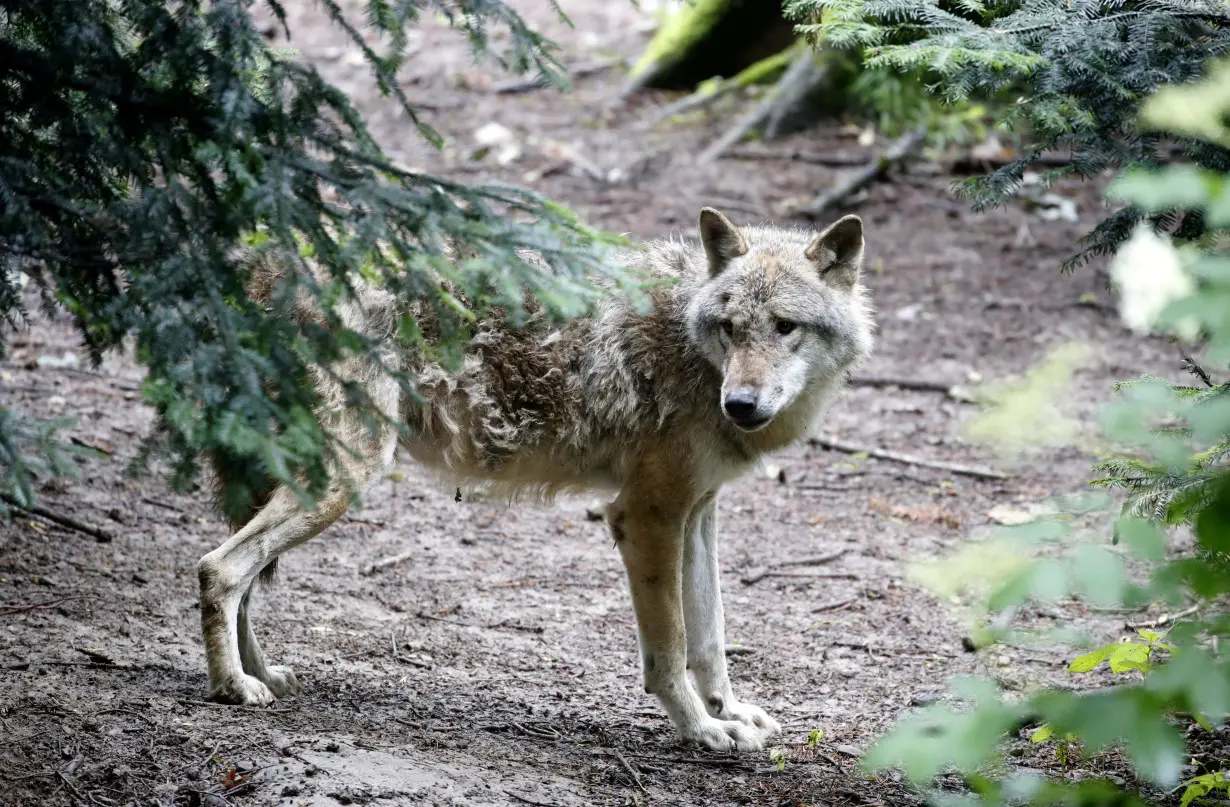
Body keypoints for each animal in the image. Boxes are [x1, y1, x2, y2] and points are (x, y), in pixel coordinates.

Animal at [194, 206, 875, 747]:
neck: (690, 348)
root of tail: (259, 264)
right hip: (344, 479)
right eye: (730, 328)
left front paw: (727, 712)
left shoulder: (699, 511)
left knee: (243, 573)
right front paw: (701, 730)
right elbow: (671, 648)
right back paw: (232, 687)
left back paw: (261, 673)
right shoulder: (645, 515)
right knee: (219, 567)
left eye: (785, 327)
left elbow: (711, 639)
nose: (741, 404)